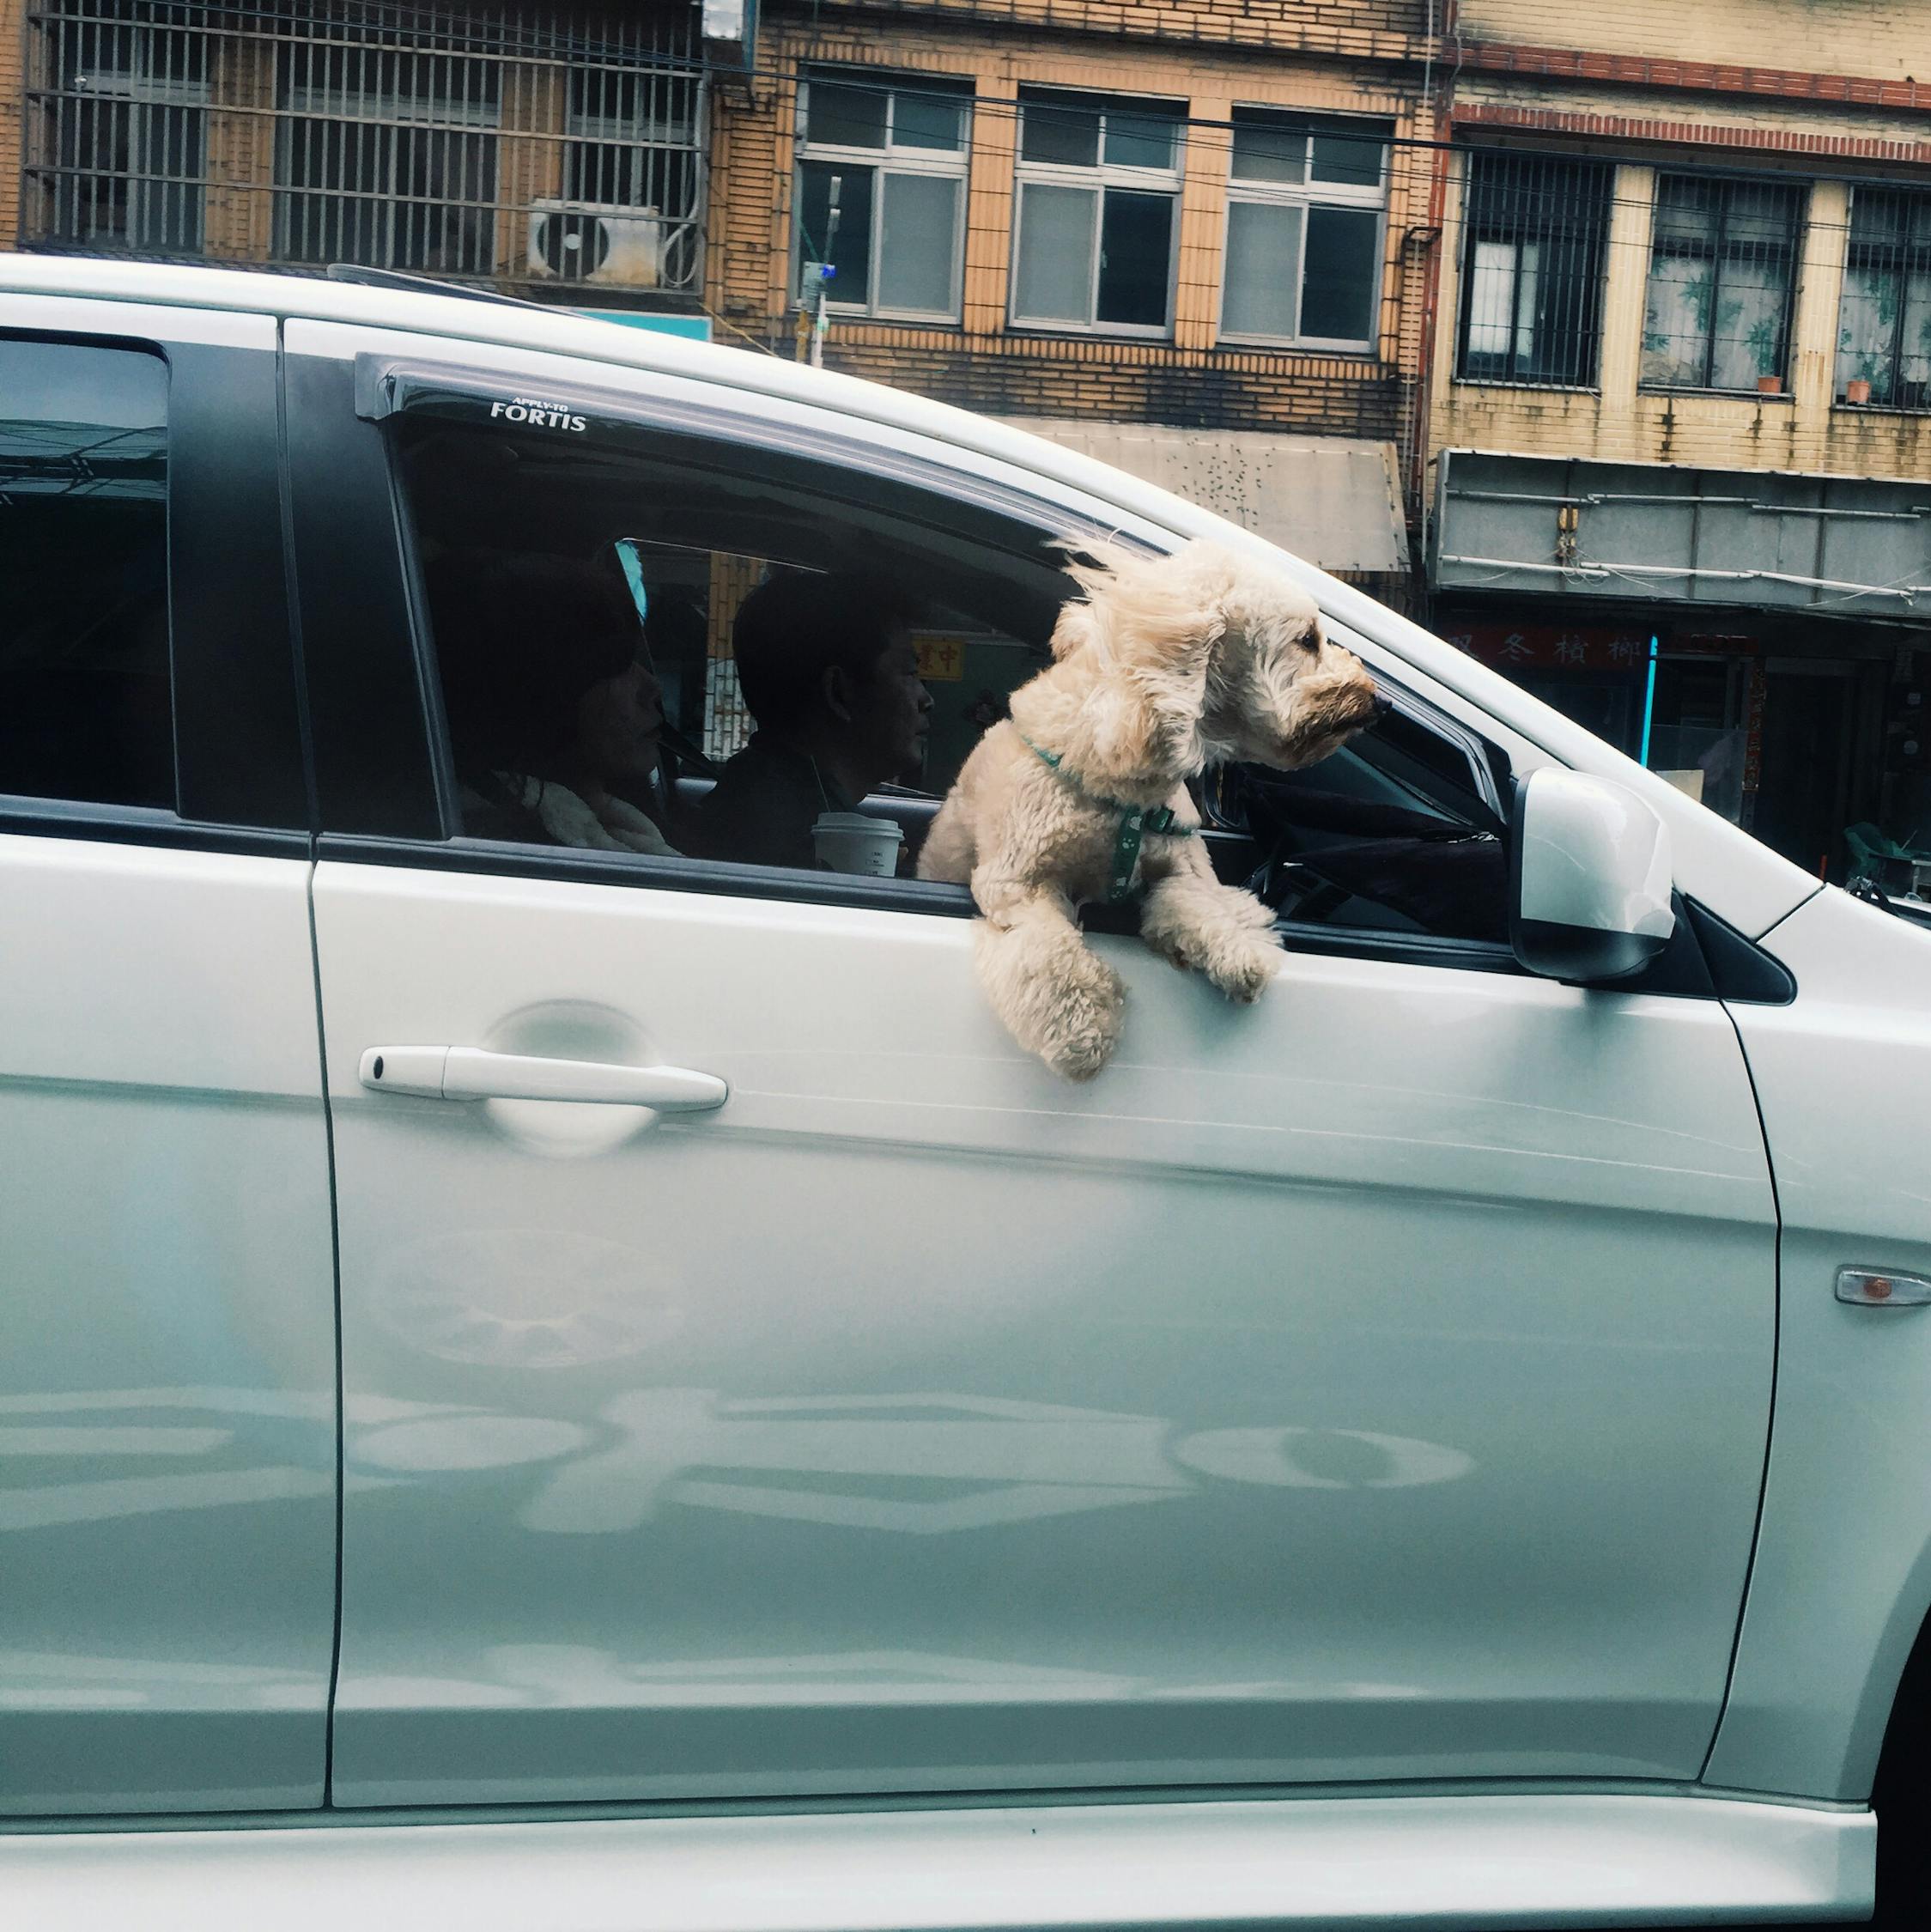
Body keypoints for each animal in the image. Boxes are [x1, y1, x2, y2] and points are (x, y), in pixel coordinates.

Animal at [923, 544, 1390, 1082]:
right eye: (1307, 640)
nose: (1379, 700)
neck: (1124, 790)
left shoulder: (1181, 865)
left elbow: (1198, 903)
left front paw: (1238, 949)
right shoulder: (1016, 885)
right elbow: (1054, 956)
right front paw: (1085, 1033)